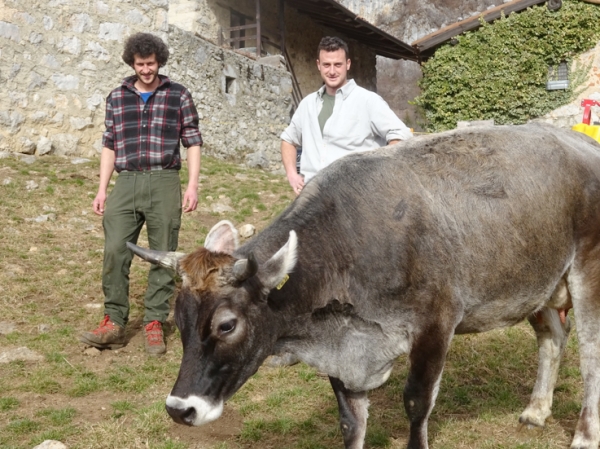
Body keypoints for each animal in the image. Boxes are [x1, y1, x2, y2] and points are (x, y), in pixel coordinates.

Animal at [129, 123, 600, 448]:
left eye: (227, 325)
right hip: (536, 283)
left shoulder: (436, 325)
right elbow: (350, 420)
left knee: (591, 353)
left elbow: (416, 403)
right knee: (554, 336)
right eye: (178, 319)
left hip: (587, 272)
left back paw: (583, 434)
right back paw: (536, 410)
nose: (179, 409)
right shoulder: (344, 348)